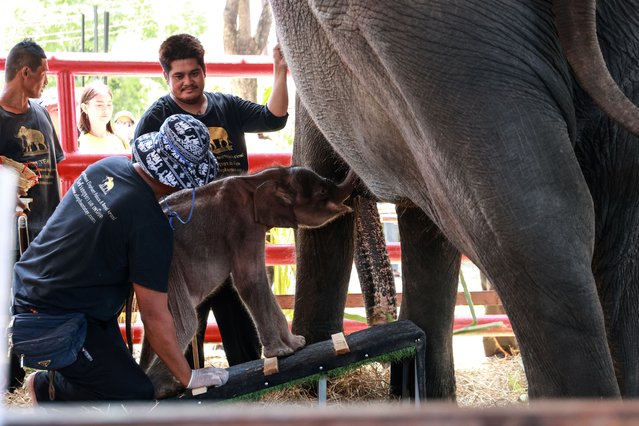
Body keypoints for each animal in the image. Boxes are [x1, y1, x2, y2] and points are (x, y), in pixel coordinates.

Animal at [142, 165, 358, 398]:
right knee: (185, 322)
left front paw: (298, 344)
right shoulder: (243, 225)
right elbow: (250, 279)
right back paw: (167, 388)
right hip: (162, 265)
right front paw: (282, 352)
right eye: (322, 192)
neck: (260, 179)